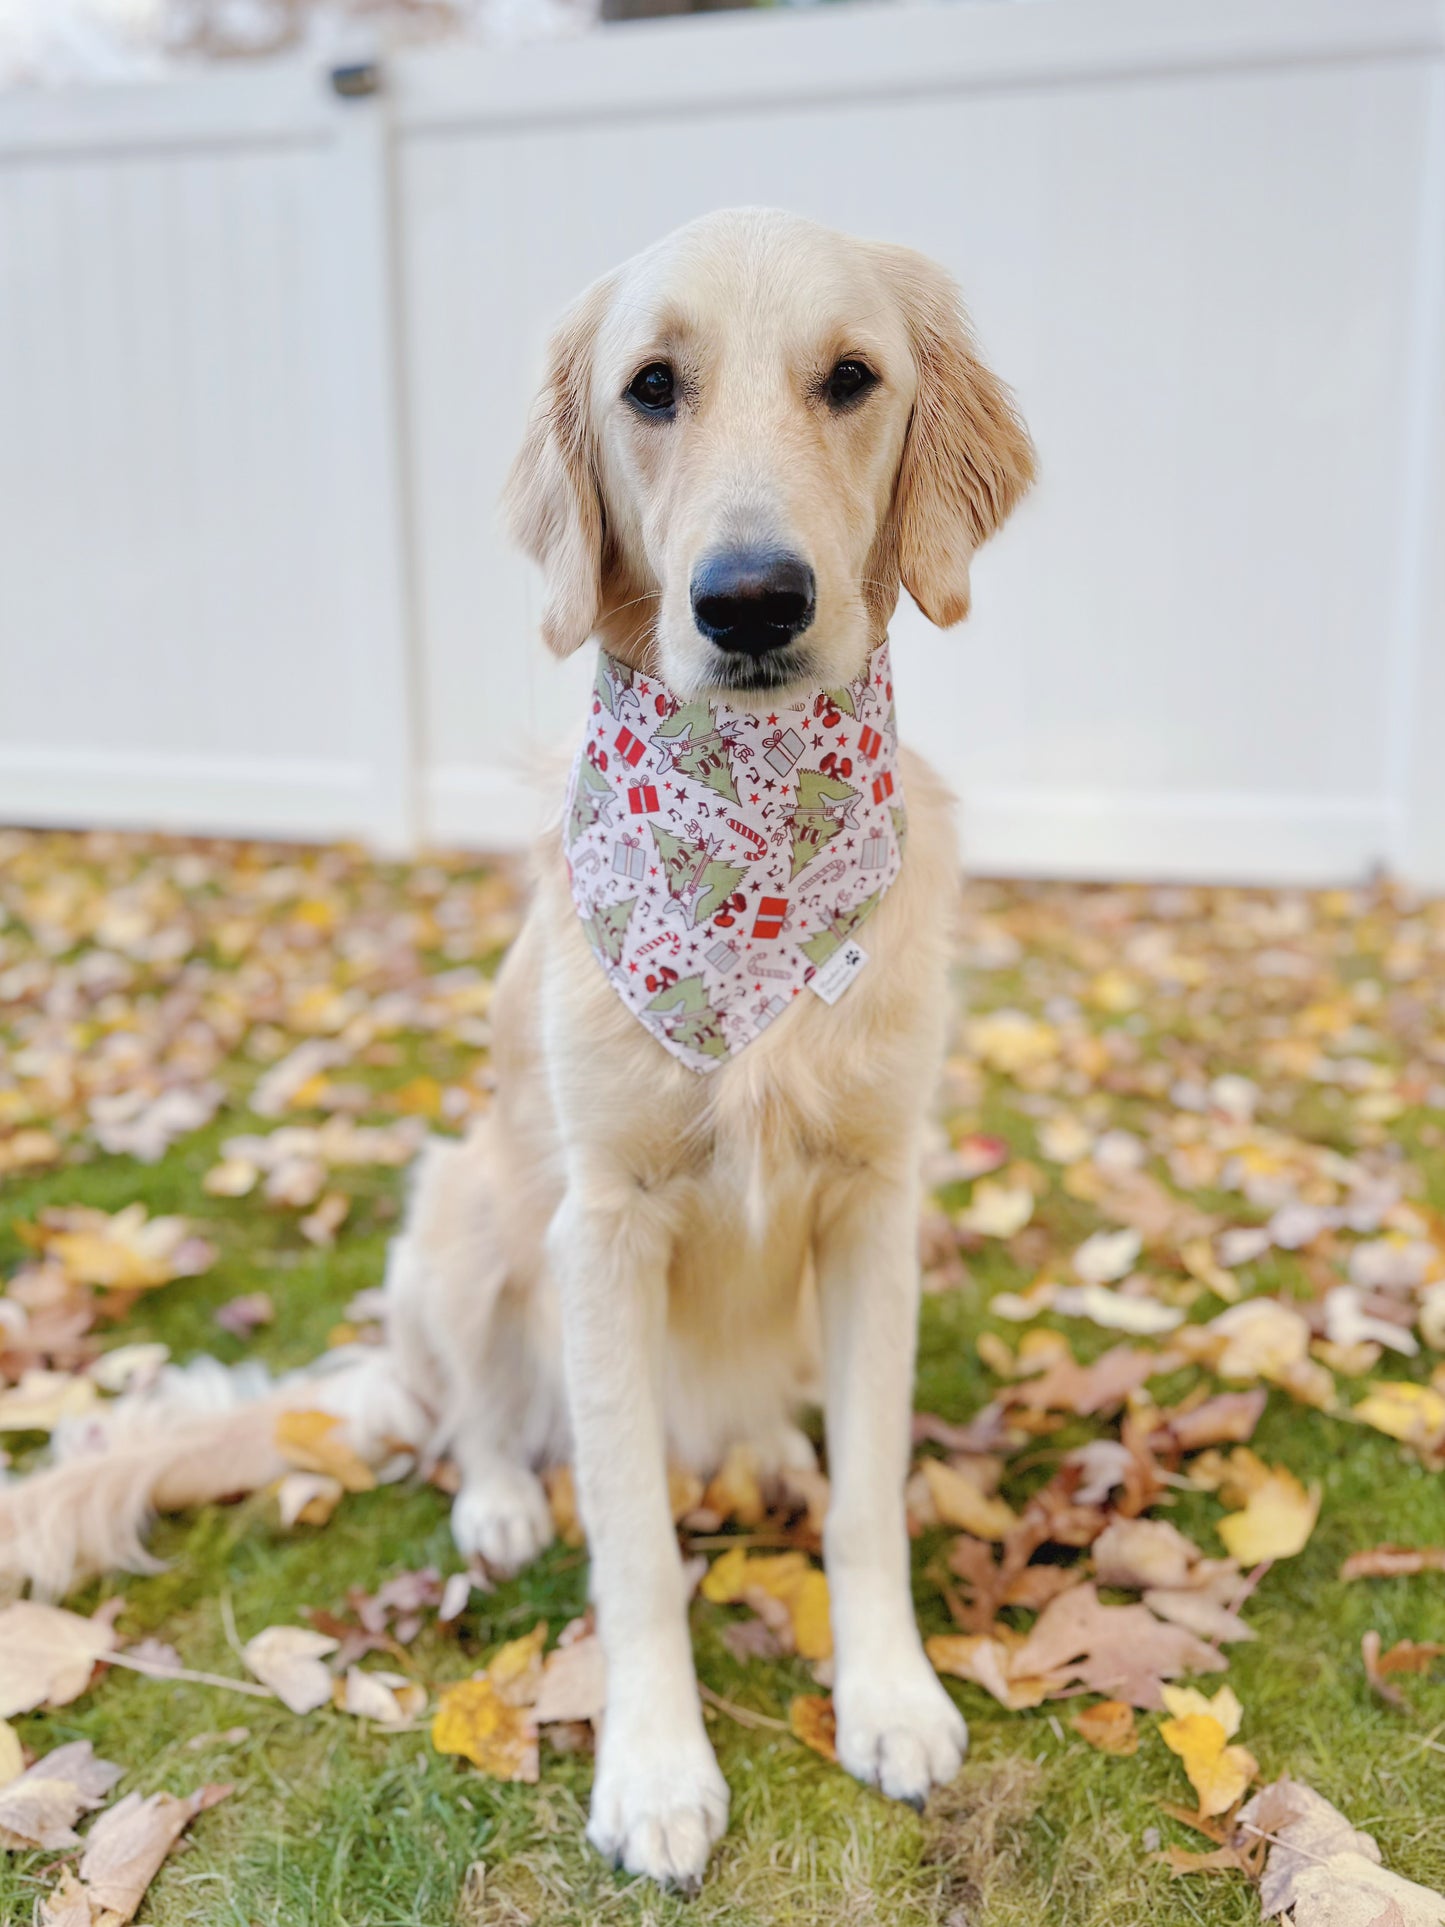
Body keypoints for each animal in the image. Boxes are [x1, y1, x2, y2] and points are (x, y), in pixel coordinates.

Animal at [0, 203, 1032, 1888]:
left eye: (852, 378)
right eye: (652, 386)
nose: (752, 600)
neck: (748, 851)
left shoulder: (877, 1201)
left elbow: (872, 1495)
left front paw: (887, 1694)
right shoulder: (599, 1226)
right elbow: (632, 1541)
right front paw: (657, 1766)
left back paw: (766, 1448)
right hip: (462, 1211)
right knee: (478, 1416)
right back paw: (493, 1500)